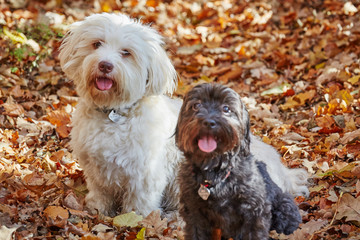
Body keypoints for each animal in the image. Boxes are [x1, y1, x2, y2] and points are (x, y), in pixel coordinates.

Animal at [58, 12, 306, 217]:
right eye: (96, 44)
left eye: (126, 53)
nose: (105, 65)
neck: (114, 113)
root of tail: (284, 173)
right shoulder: (95, 167)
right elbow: (100, 192)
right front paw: (97, 210)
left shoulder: (146, 173)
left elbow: (140, 202)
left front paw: (135, 220)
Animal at [174, 83, 300, 239]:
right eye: (196, 105)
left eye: (226, 108)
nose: (209, 122)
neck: (215, 172)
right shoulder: (194, 212)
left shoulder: (254, 212)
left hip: (284, 208)